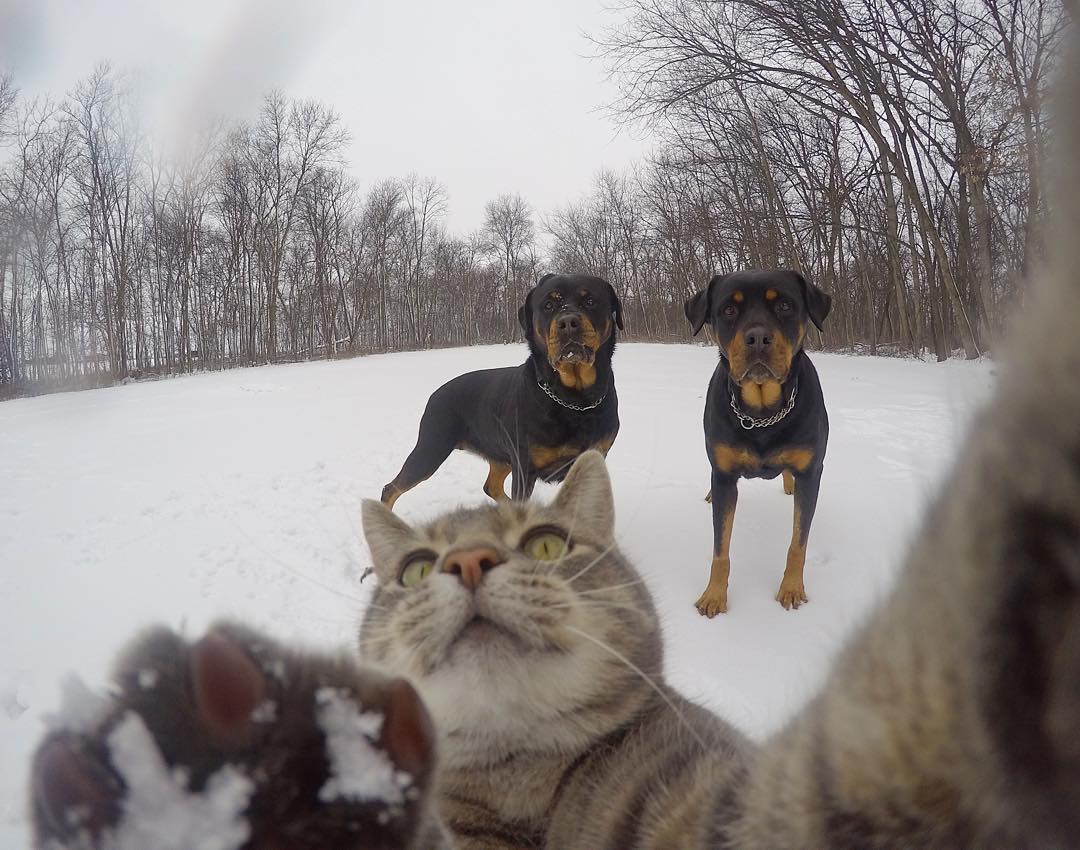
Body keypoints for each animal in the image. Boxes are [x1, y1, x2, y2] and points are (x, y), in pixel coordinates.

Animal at [381, 273, 623, 507]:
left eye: (590, 301)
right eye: (548, 305)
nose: (568, 322)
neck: (575, 400)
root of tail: (435, 394)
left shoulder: (594, 458)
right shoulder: (524, 467)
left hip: (498, 452)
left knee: (492, 486)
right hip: (432, 445)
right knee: (391, 488)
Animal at [685, 269, 832, 615]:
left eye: (784, 305)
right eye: (728, 309)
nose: (758, 338)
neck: (762, 413)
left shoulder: (811, 472)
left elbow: (798, 543)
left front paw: (791, 589)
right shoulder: (724, 475)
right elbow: (720, 548)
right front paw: (714, 595)